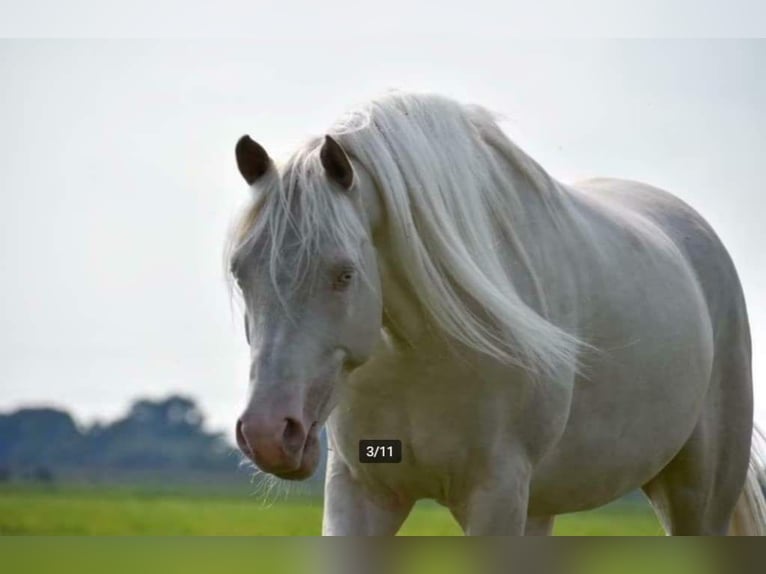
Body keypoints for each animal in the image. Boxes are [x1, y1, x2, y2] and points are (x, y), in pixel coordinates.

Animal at [225, 90, 764, 536]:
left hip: (697, 501)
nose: (267, 434)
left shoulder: (496, 495)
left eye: (344, 274)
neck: (421, 353)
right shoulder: (361, 491)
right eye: (239, 272)